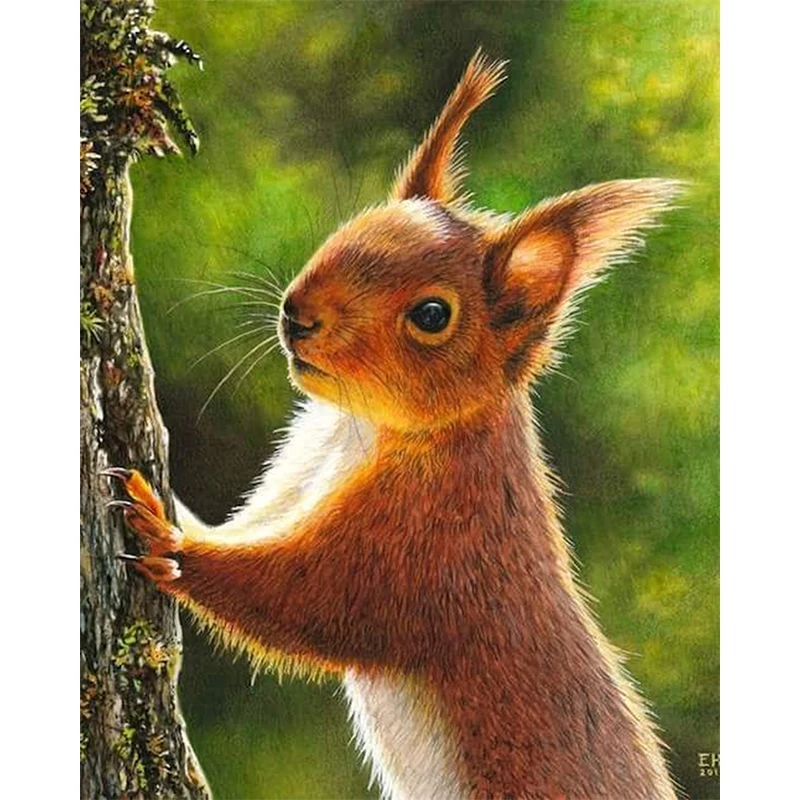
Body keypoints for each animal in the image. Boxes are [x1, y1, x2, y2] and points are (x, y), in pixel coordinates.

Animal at [107, 51, 681, 800]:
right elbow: (245, 527)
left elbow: (304, 599)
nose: (298, 314)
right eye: (352, 227)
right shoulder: (297, 471)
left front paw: (163, 534)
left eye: (433, 315)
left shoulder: (425, 539)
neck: (366, 429)